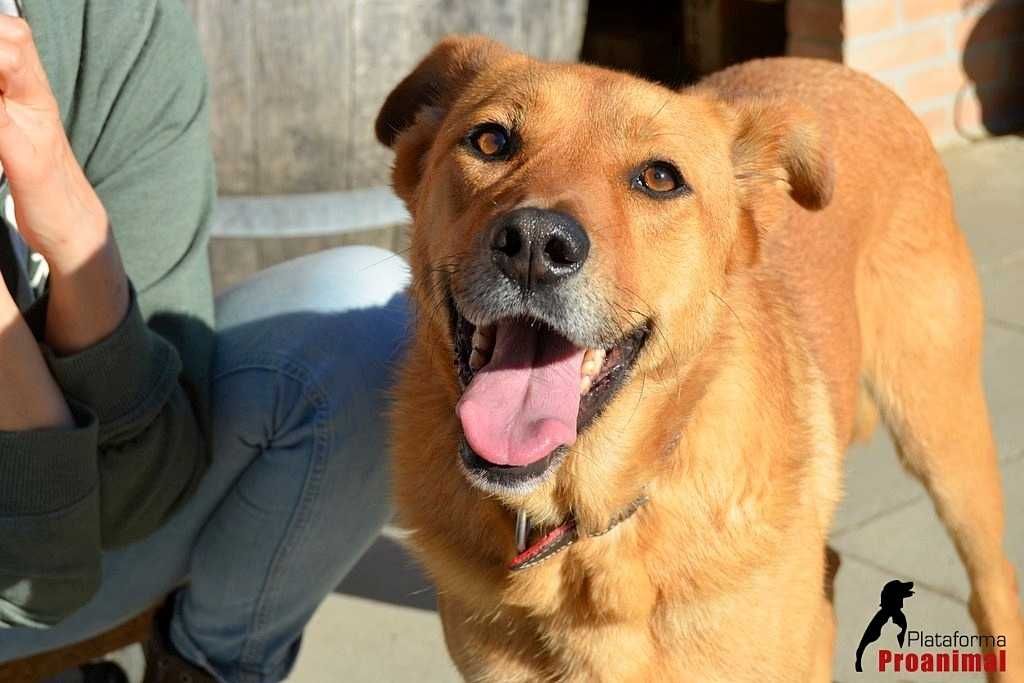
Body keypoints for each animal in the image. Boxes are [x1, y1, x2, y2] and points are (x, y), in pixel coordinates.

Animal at [376, 38, 1024, 683]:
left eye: (660, 178)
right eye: (490, 141)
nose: (535, 244)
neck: (592, 526)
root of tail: (837, 70)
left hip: (944, 437)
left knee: (992, 586)